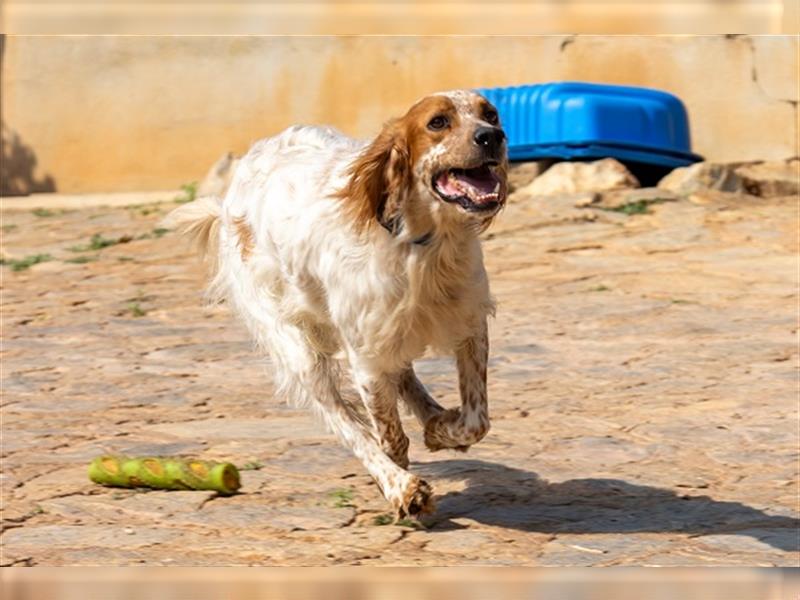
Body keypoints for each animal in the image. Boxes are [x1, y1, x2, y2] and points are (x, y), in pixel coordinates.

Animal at [166, 91, 510, 516]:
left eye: (490, 114)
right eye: (438, 122)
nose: (492, 137)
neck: (424, 247)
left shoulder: (469, 323)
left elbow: (477, 420)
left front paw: (442, 429)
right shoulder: (365, 359)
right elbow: (387, 436)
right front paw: (400, 482)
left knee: (402, 377)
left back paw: (433, 418)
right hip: (299, 351)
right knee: (345, 422)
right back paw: (396, 481)